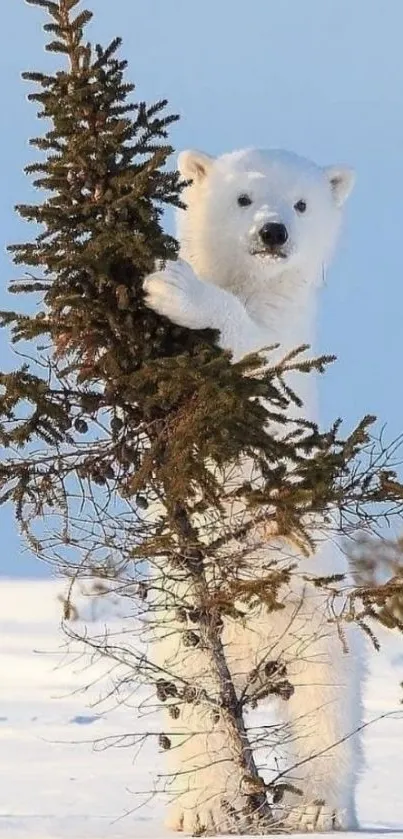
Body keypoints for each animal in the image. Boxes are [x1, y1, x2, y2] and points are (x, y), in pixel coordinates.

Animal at [144, 148, 362, 836]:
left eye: (300, 203)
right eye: (242, 198)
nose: (273, 233)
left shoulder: (292, 361)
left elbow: (264, 369)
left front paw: (174, 287)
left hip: (321, 621)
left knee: (325, 711)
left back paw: (315, 804)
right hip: (182, 629)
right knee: (195, 710)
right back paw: (201, 806)